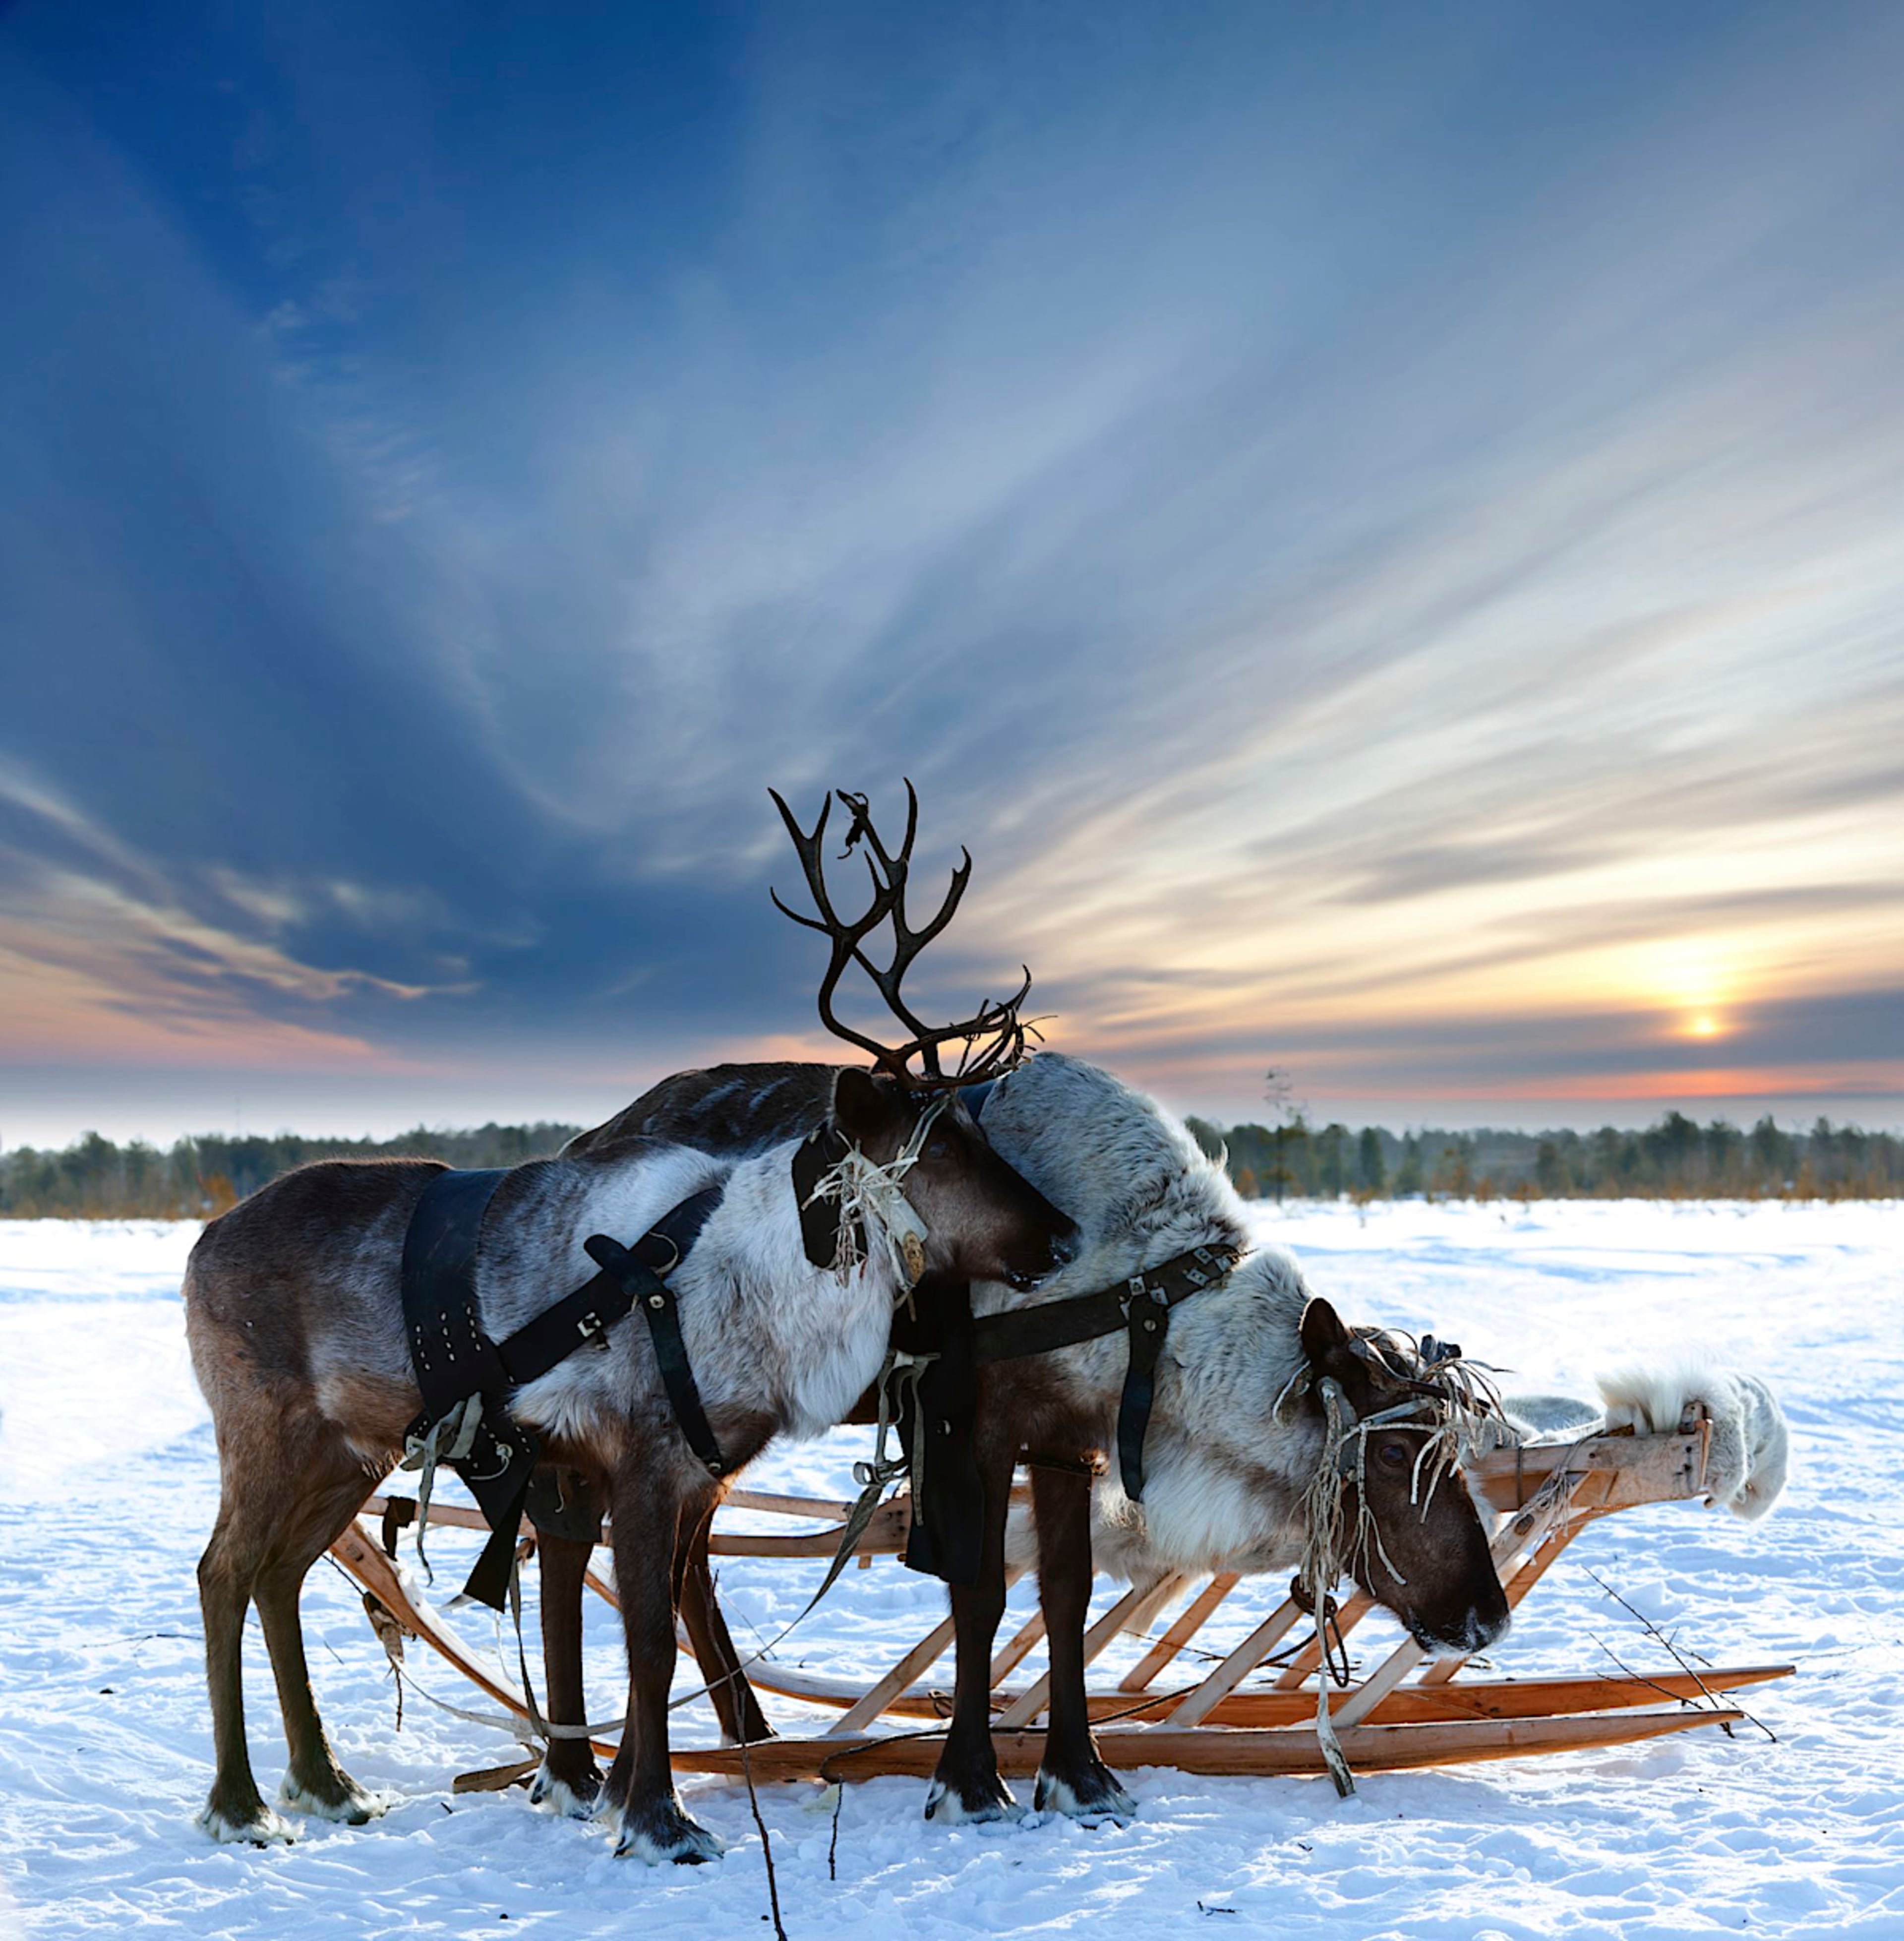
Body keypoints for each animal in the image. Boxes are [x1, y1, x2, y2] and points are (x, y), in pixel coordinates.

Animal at [181, 784, 1076, 1863]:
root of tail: (199, 1242)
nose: (1065, 1233)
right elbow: (650, 1640)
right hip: (265, 1430)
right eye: (940, 1148)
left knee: (280, 1575)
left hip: (351, 1447)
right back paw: (240, 1801)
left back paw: (325, 1781)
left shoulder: (693, 1471)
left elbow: (666, 1631)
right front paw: (658, 1819)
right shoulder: (644, 1457)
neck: (765, 1282)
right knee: (223, 1570)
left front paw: (616, 1795)